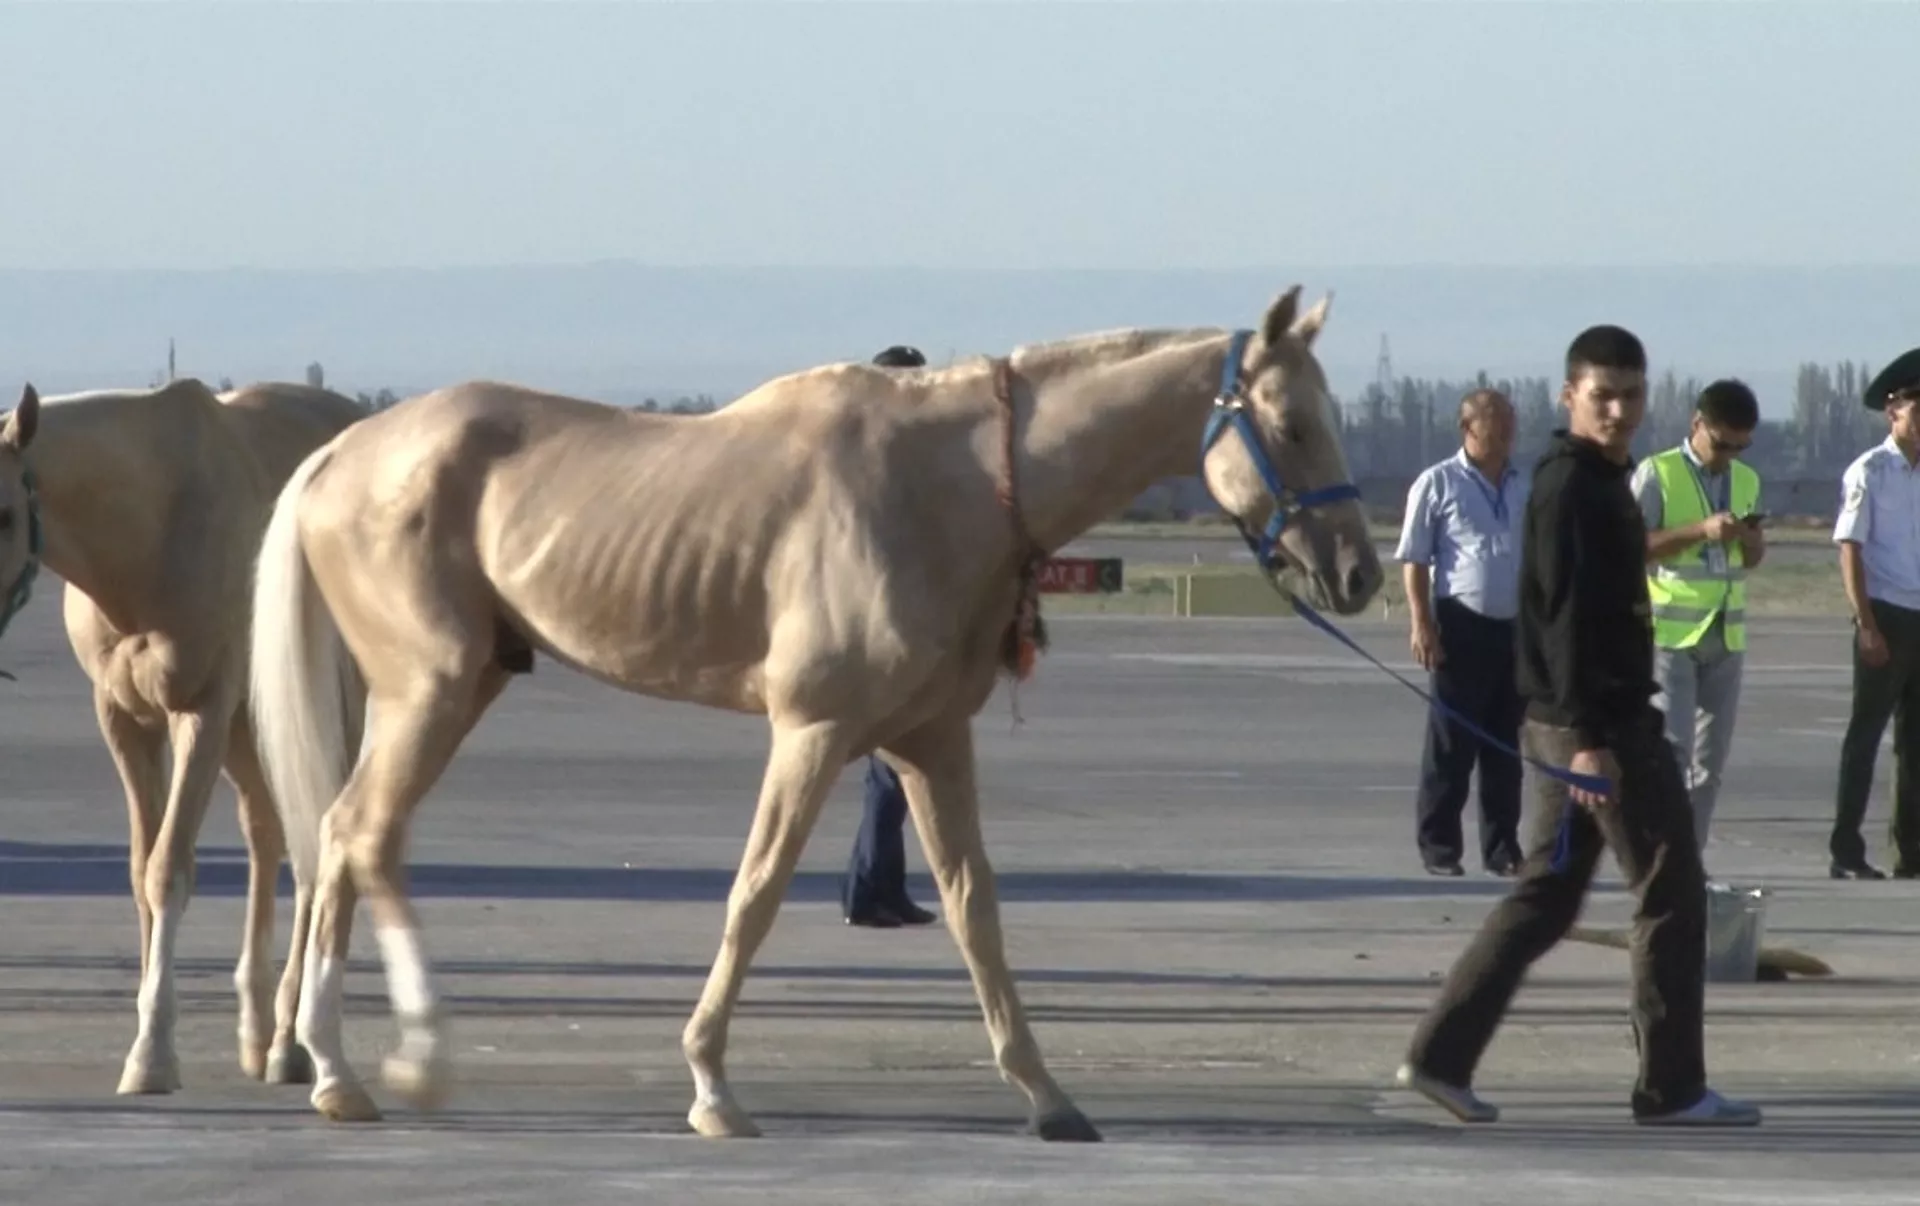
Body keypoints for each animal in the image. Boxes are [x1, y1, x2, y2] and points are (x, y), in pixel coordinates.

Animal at [0, 376, 366, 1096]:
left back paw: (292, 1041)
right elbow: (141, 867)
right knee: (266, 829)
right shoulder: (124, 718)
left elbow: (168, 869)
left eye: (2, 515)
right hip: (252, 724)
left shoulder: (200, 710)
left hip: (321, 709)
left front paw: (152, 1053)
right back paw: (258, 1032)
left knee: (316, 838)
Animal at [246, 284, 1385, 1137]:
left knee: (344, 837)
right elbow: (755, 893)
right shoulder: (814, 733)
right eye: (1289, 423)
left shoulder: (931, 742)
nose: (1359, 573)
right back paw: (392, 1062)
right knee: (362, 833)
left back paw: (334, 1066)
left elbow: (975, 909)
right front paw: (712, 1086)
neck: (950, 487)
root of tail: (341, 453)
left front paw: (1046, 1094)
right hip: (430, 688)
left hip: (449, 686)